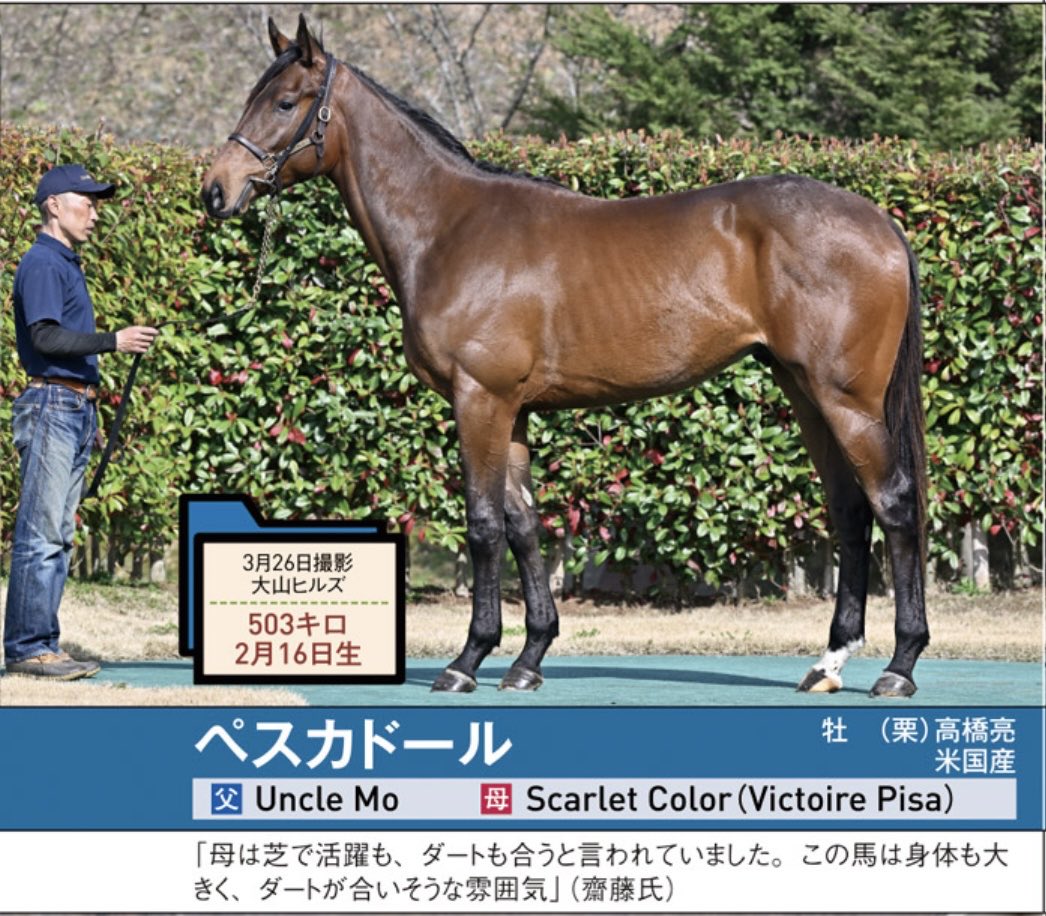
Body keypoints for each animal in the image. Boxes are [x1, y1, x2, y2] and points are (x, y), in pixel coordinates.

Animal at [202, 15, 929, 698]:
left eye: (286, 102)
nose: (216, 190)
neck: (450, 231)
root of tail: (883, 224)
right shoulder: (513, 411)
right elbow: (525, 524)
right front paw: (528, 659)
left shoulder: (480, 400)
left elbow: (484, 525)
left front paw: (467, 661)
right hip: (805, 393)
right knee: (849, 509)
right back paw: (829, 663)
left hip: (846, 400)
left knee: (893, 503)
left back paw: (899, 666)